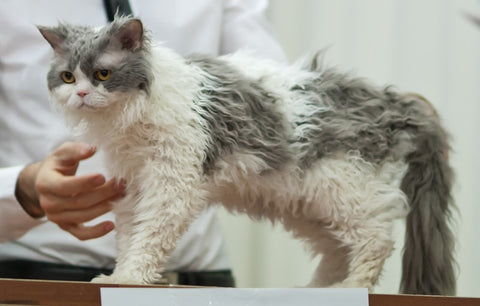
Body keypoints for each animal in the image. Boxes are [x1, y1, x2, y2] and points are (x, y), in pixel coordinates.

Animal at [39, 17, 456, 296]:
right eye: (67, 78)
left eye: (102, 74)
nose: (80, 95)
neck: (132, 116)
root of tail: (398, 103)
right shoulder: (132, 188)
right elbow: (128, 238)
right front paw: (118, 276)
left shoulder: (172, 186)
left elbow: (148, 238)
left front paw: (130, 279)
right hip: (308, 204)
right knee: (337, 249)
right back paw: (317, 289)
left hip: (342, 185)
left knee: (375, 238)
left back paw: (351, 287)